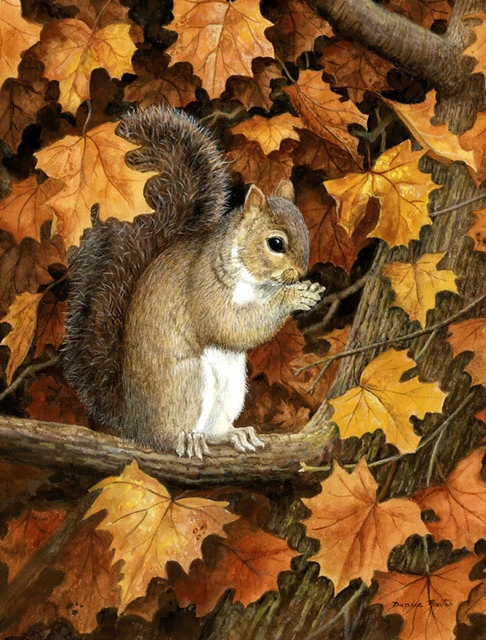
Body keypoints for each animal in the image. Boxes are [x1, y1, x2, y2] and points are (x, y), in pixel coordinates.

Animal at [61, 106, 325, 458]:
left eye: (307, 232)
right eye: (276, 243)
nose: (299, 273)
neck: (255, 282)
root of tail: (132, 421)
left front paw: (309, 292)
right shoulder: (204, 287)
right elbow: (229, 325)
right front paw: (294, 297)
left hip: (231, 388)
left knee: (214, 429)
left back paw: (234, 434)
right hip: (184, 384)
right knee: (167, 434)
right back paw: (184, 438)